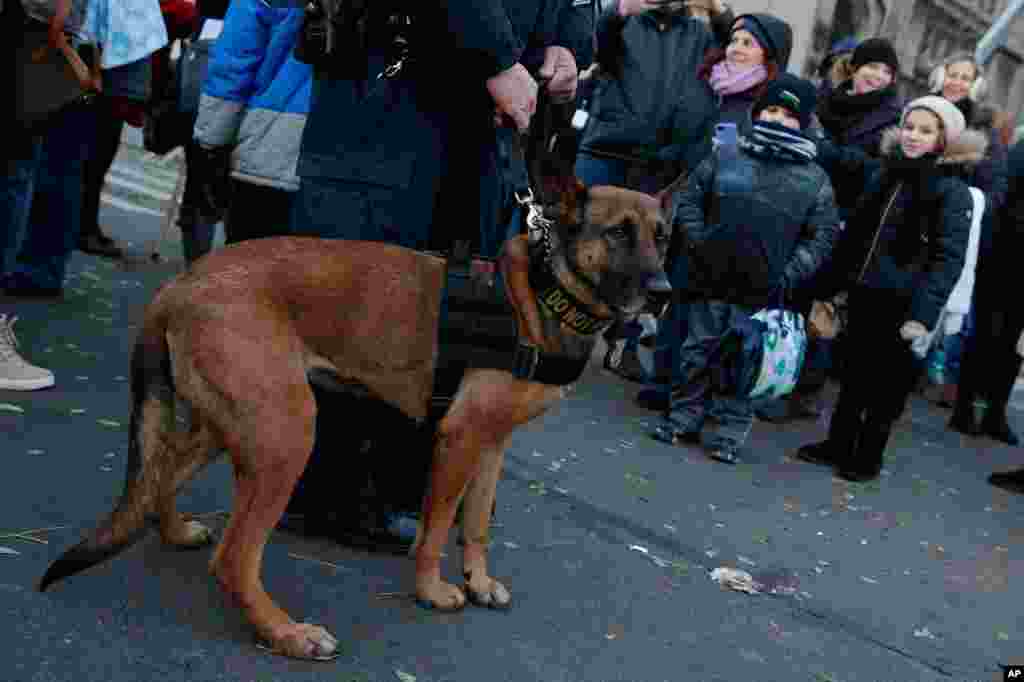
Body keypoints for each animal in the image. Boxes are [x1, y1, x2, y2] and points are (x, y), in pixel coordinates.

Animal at [37, 169, 679, 659]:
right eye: (619, 234)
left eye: (662, 235)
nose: (665, 293)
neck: (544, 292)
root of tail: (180, 284)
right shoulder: (460, 439)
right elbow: (438, 525)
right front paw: (432, 590)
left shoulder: (493, 445)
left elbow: (476, 524)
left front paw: (477, 580)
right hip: (289, 433)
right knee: (235, 557)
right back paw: (286, 633)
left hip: (236, 423)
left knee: (163, 470)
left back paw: (172, 530)